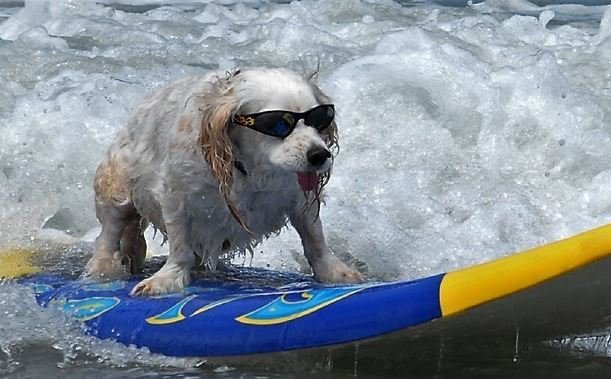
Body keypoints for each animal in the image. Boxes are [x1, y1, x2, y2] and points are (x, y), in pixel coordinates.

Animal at [85, 67, 364, 296]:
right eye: (279, 124)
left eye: (320, 120)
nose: (320, 155)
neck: (249, 169)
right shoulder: (175, 195)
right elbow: (179, 243)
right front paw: (168, 279)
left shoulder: (300, 196)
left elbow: (314, 238)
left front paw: (334, 272)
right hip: (115, 187)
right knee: (109, 232)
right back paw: (102, 268)